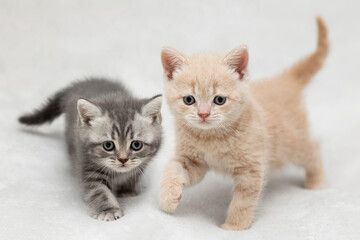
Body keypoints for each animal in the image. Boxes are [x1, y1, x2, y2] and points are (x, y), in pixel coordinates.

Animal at [18, 78, 162, 220]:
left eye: (136, 145)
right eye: (108, 145)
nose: (123, 159)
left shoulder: (141, 165)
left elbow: (133, 175)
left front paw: (126, 190)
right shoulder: (87, 166)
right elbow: (99, 191)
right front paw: (108, 210)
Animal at [159, 17, 328, 231]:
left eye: (219, 100)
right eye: (189, 100)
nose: (204, 114)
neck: (211, 137)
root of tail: (284, 81)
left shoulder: (251, 170)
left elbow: (243, 202)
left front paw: (234, 226)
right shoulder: (192, 161)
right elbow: (173, 167)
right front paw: (168, 196)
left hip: (292, 145)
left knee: (313, 148)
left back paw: (317, 182)